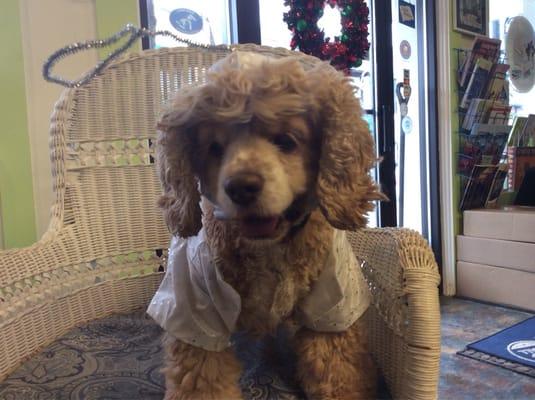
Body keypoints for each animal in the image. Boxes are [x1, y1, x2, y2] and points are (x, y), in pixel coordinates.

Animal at [148, 51, 386, 398]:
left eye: (286, 141)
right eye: (214, 148)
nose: (241, 187)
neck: (269, 247)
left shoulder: (333, 308)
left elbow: (337, 372)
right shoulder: (195, 314)